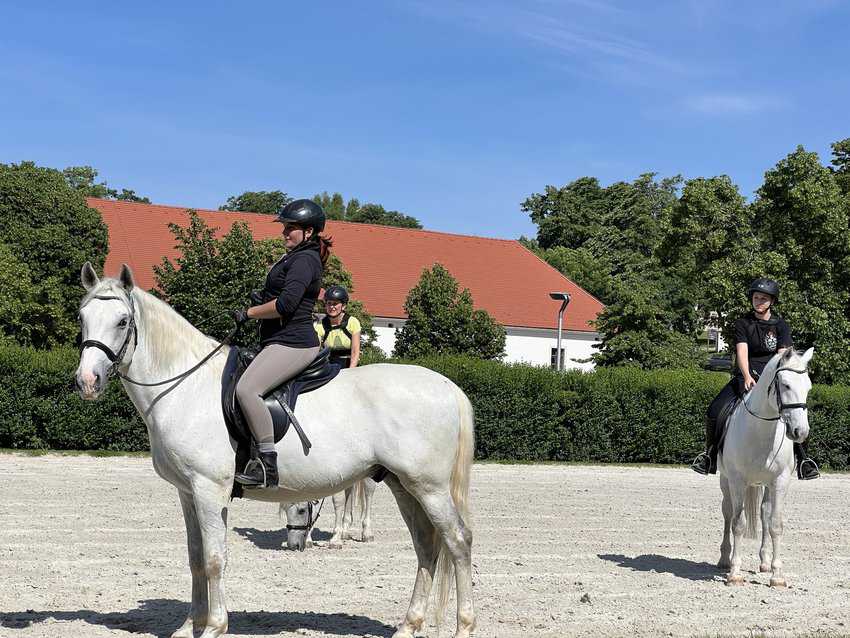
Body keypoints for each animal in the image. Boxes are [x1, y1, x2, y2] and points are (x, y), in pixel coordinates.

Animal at [75, 264, 474, 638]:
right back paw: (409, 624)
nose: (87, 381)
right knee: (426, 546)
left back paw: (463, 626)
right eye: (82, 317)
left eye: (122, 321)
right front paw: (189, 626)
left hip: (429, 488)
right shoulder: (187, 492)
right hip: (403, 485)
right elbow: (195, 559)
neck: (186, 384)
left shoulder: (209, 489)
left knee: (458, 541)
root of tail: (447, 386)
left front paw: (215, 626)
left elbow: (215, 559)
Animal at [716, 348, 816, 588]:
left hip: (766, 485)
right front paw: (735, 573)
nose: (801, 432)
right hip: (726, 482)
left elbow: (775, 524)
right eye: (786, 385)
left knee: (764, 514)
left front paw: (777, 575)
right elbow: (738, 524)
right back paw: (724, 559)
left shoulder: (780, 481)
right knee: (727, 513)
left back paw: (764, 562)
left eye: (808, 387)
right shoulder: (737, 481)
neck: (761, 430)